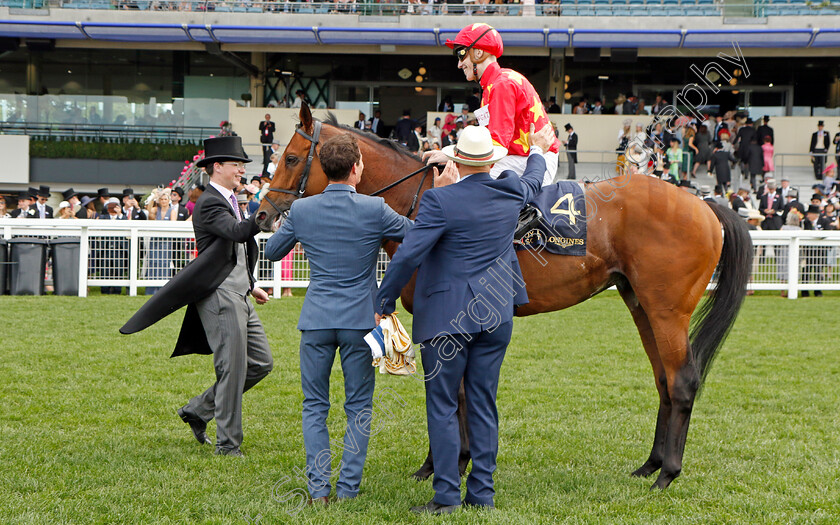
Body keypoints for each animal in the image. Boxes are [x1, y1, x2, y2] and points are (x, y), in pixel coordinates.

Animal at [258, 104, 756, 490]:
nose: (261, 212)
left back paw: (667, 474)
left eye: (292, 156)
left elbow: (449, 389)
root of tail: (704, 202)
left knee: (683, 381)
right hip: (642, 307)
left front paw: (445, 464)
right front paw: (453, 461)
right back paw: (649, 465)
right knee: (664, 382)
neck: (418, 200)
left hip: (667, 310)